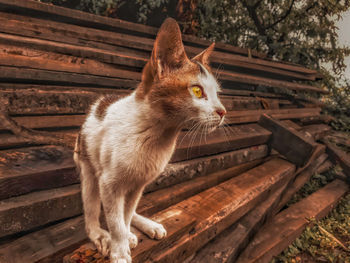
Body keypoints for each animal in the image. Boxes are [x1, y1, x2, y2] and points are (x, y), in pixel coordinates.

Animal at [74, 17, 227, 262]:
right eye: (197, 91)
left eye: (217, 93)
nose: (222, 111)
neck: (157, 136)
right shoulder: (109, 184)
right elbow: (115, 221)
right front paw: (119, 250)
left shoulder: (138, 184)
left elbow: (125, 216)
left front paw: (126, 235)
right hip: (88, 168)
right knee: (91, 213)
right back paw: (101, 235)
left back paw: (144, 227)